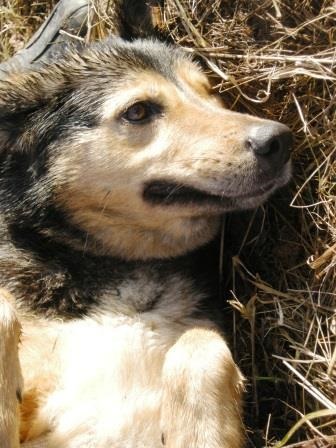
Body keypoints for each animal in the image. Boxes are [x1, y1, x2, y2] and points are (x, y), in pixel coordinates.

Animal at [0, 36, 292, 446]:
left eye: (209, 91)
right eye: (138, 111)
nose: (279, 140)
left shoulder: (200, 340)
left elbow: (201, 345)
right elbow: (2, 309)